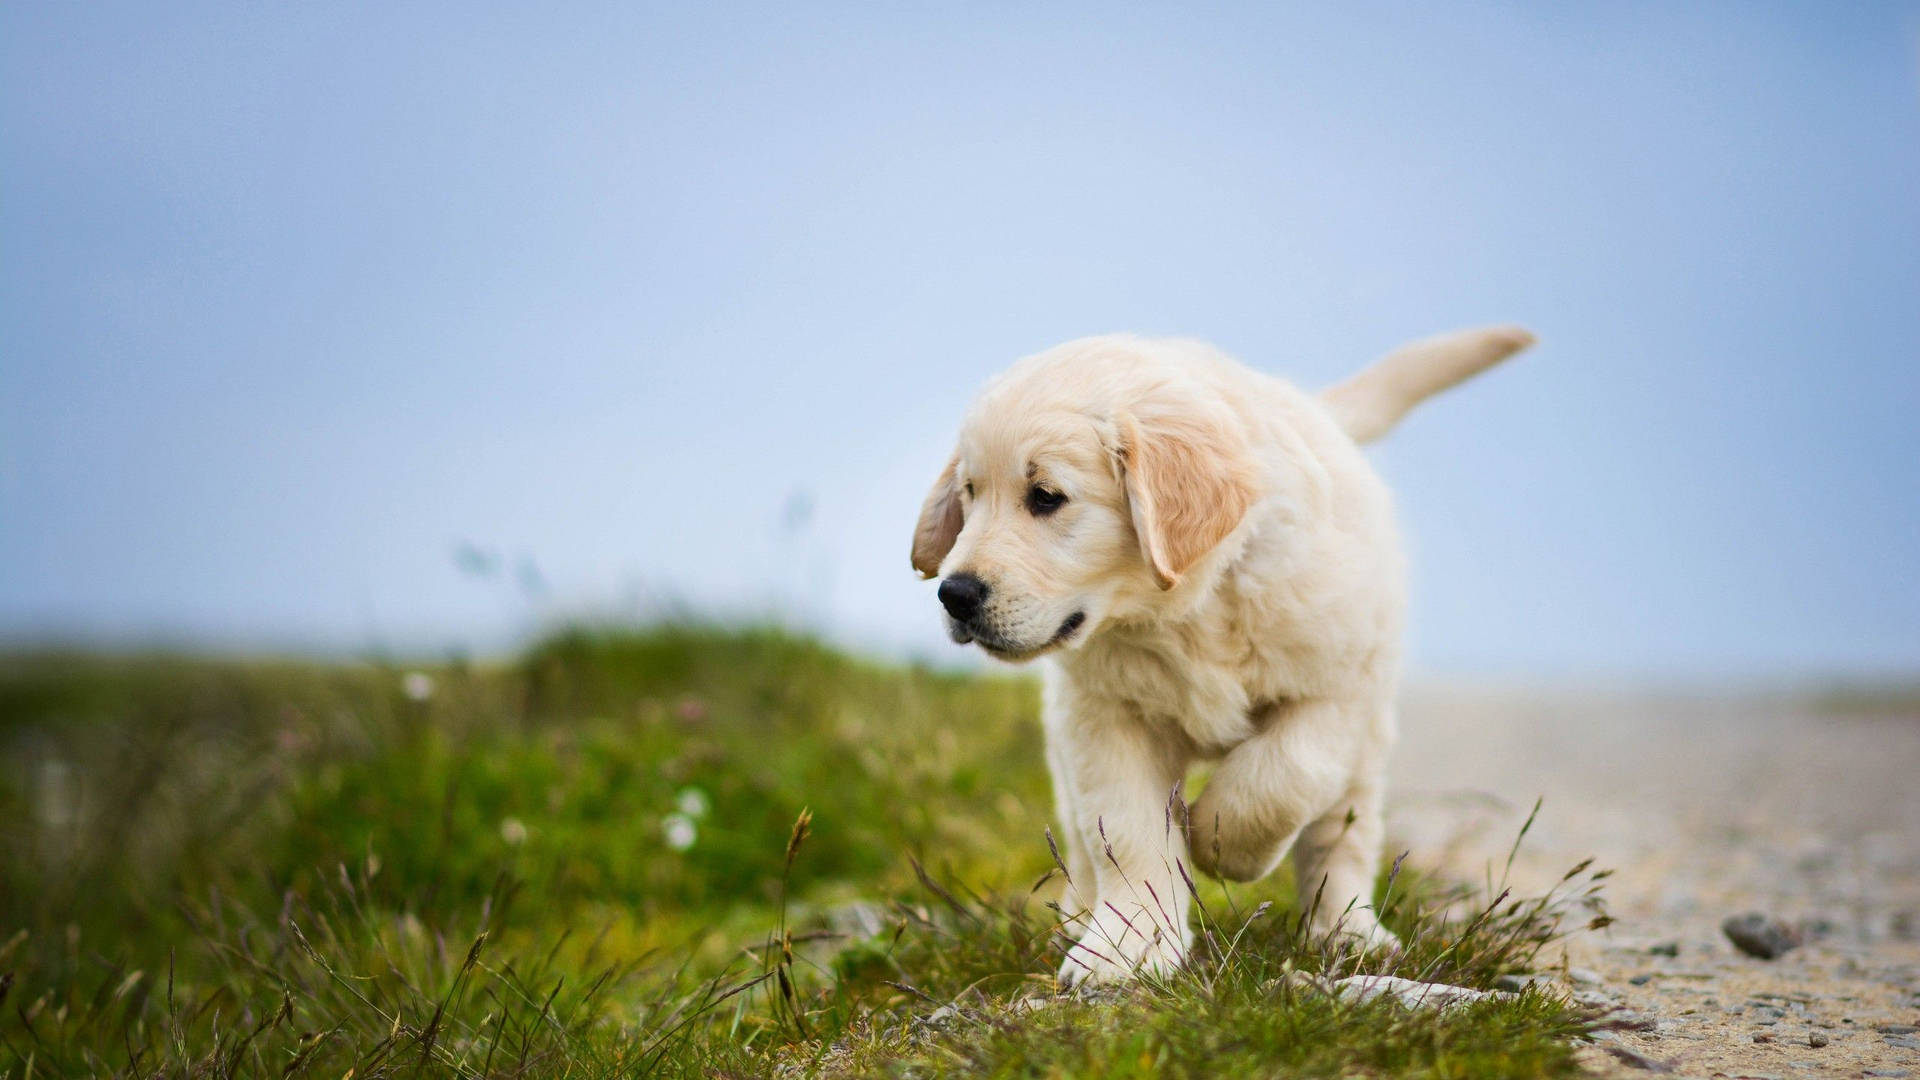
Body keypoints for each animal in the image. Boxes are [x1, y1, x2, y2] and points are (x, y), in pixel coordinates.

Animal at [910, 322, 1528, 980]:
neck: (1187, 609)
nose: (954, 593)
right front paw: (1130, 942)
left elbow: (1285, 776)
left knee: (1342, 831)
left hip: (1368, 735)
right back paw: (1080, 914)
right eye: (970, 493)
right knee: (1079, 836)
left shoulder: (1338, 688)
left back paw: (1347, 929)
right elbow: (1125, 830)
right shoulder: (1103, 713)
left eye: (1046, 496)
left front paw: (1218, 839)